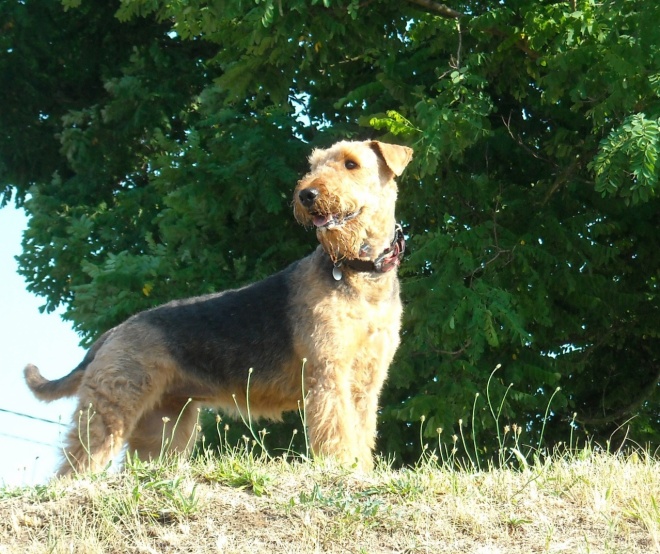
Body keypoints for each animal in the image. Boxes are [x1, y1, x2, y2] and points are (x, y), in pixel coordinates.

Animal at [25, 137, 412, 470]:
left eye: (351, 163)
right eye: (313, 165)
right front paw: (343, 468)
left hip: (164, 422)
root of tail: (113, 332)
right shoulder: (329, 374)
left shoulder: (365, 383)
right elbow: (338, 433)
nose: (307, 194)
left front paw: (360, 470)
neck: (361, 273)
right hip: (113, 406)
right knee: (75, 463)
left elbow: (361, 434)